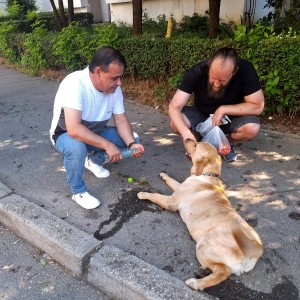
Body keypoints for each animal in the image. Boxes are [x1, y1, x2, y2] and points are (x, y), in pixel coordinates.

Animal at [138, 140, 262, 290]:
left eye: (197, 145)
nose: (187, 139)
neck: (208, 174)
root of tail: (254, 252)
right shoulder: (179, 187)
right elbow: (172, 180)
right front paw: (164, 175)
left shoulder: (172, 202)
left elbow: (155, 195)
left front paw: (143, 194)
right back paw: (203, 271)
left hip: (203, 245)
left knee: (223, 272)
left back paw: (196, 283)